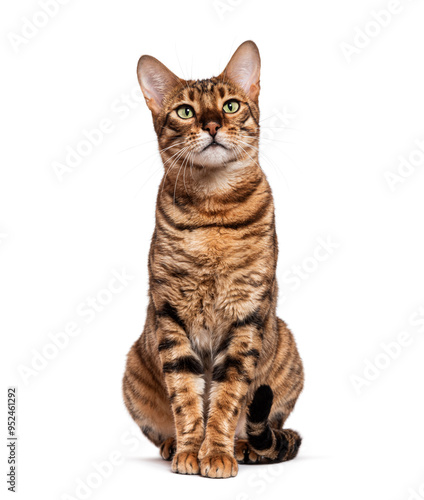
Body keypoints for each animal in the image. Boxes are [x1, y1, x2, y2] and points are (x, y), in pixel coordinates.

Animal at [122, 41, 304, 478]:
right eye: (186, 111)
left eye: (231, 106)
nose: (212, 125)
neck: (213, 210)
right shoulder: (170, 315)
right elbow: (187, 397)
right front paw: (192, 450)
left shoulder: (246, 315)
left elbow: (226, 398)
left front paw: (217, 452)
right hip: (134, 366)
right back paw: (173, 444)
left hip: (285, 346)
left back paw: (243, 446)